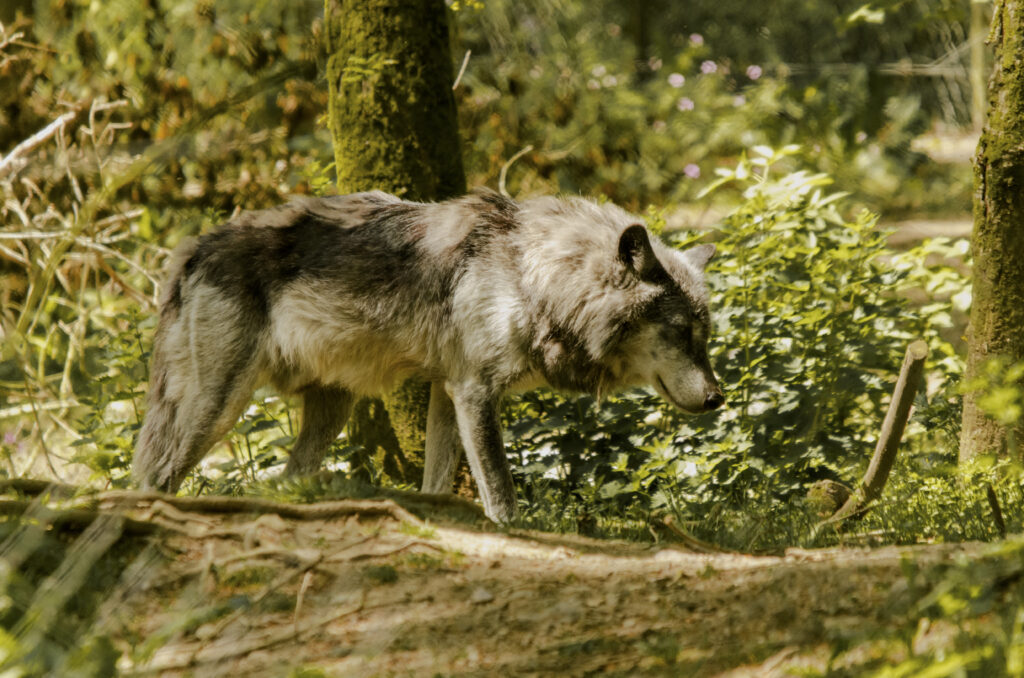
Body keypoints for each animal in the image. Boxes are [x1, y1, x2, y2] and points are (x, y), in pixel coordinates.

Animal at [132, 189, 724, 522]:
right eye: (680, 332)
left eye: (705, 335)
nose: (718, 399)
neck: (530, 272)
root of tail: (194, 247)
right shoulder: (476, 393)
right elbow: (500, 489)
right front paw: (515, 533)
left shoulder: (449, 390)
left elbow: (438, 481)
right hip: (218, 408)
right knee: (159, 474)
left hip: (331, 410)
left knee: (282, 479)